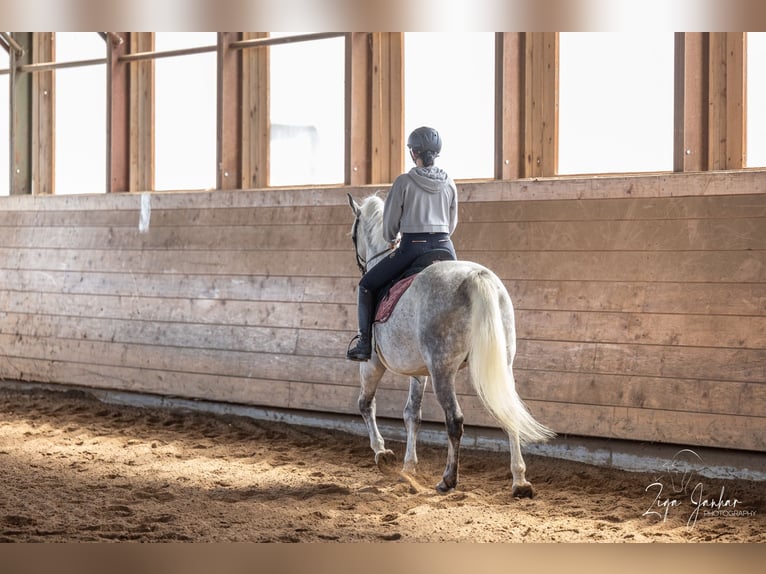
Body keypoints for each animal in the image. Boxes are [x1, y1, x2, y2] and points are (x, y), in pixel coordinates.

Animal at [350, 195, 560, 500]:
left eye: (353, 235)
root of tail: (476, 276)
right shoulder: (419, 371)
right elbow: (412, 414)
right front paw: (408, 467)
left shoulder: (372, 363)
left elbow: (366, 404)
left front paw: (382, 454)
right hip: (502, 365)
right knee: (508, 411)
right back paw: (519, 482)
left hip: (442, 370)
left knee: (454, 420)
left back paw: (448, 479)